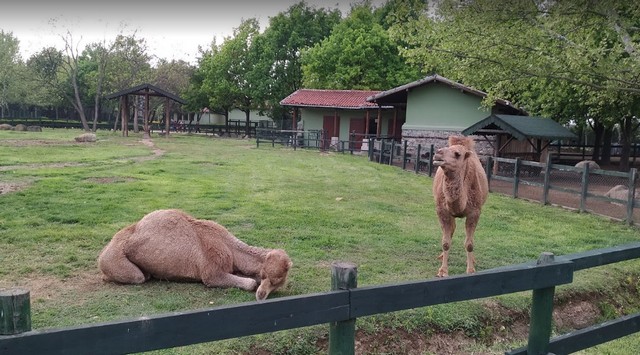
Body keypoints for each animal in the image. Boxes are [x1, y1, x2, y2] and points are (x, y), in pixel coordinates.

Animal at [98, 210, 292, 302]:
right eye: (268, 277)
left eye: (278, 282)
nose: (262, 295)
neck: (229, 248)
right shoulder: (211, 273)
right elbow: (250, 282)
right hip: (116, 260)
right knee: (137, 276)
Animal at [432, 136, 488, 278]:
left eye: (457, 154)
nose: (438, 153)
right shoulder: (442, 211)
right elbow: (446, 242)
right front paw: (443, 271)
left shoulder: (475, 212)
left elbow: (469, 244)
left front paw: (471, 269)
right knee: (450, 231)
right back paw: (441, 256)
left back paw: (473, 259)